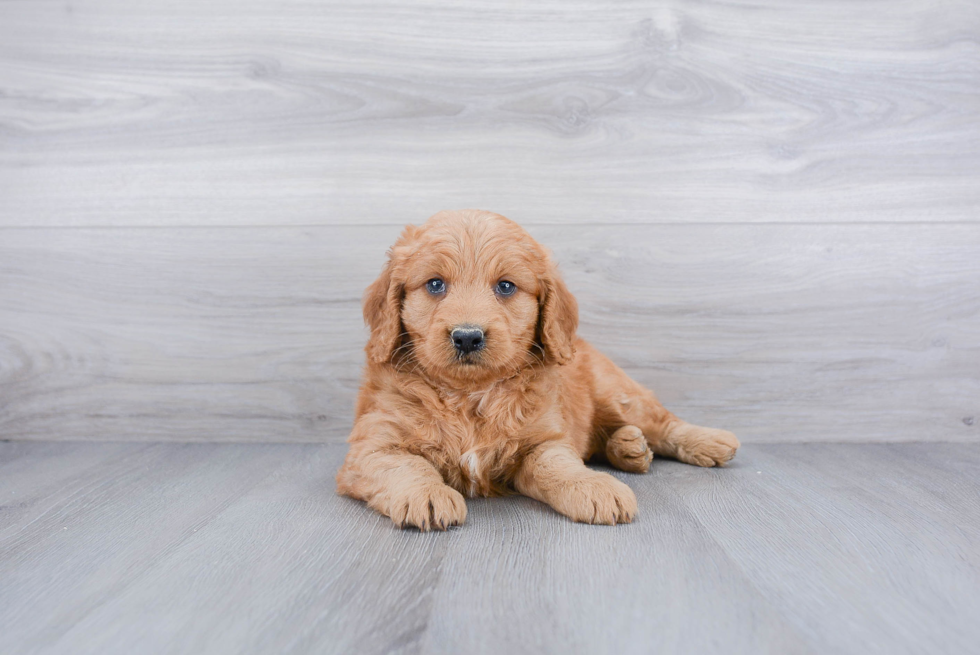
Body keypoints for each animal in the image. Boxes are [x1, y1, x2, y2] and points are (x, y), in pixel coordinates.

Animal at [340, 213, 740, 532]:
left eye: (505, 286)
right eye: (435, 284)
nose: (467, 336)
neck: (469, 395)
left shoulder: (544, 440)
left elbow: (559, 466)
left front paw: (593, 487)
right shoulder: (372, 446)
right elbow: (406, 465)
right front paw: (427, 494)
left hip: (620, 394)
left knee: (662, 422)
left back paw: (705, 441)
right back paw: (629, 448)